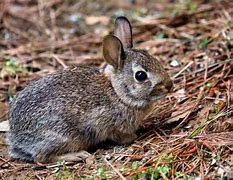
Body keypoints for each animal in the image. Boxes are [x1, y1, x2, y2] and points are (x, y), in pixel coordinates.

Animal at [7, 16, 173, 163]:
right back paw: (78, 156)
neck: (117, 92)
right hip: (61, 136)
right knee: (41, 158)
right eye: (140, 75)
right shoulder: (109, 125)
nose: (170, 85)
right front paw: (133, 137)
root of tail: (16, 137)